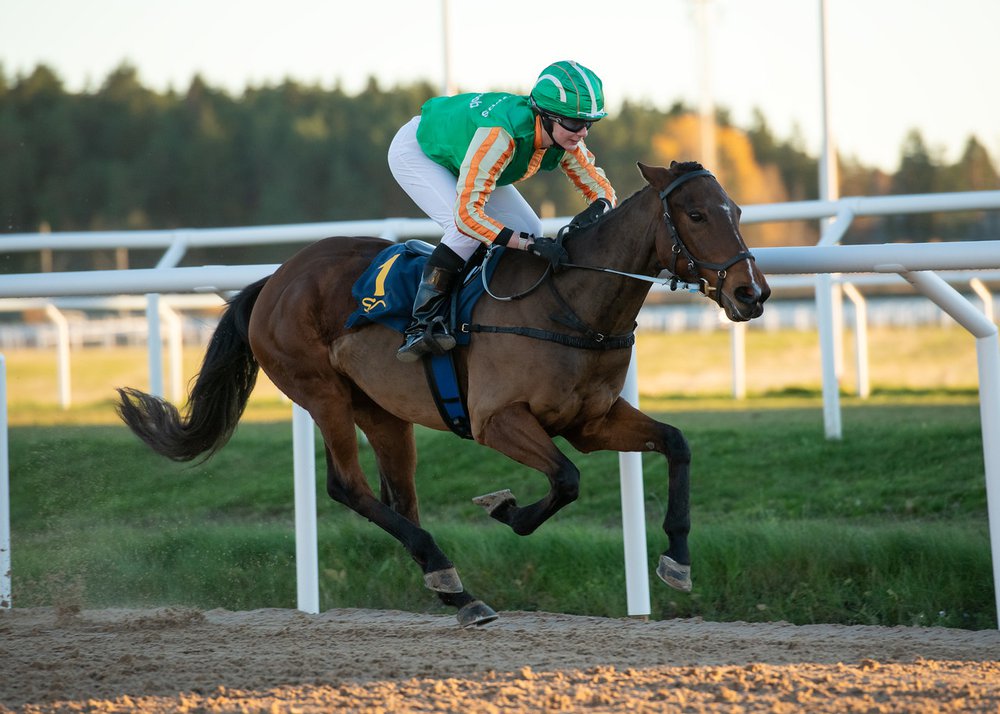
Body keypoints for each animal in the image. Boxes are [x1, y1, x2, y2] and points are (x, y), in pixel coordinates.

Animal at [117, 160, 772, 624]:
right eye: (695, 216)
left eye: (736, 209)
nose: (753, 293)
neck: (570, 304)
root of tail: (274, 278)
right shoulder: (496, 419)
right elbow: (565, 479)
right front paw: (506, 508)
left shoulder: (592, 421)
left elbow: (677, 443)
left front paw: (677, 560)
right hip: (321, 393)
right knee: (348, 487)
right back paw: (448, 575)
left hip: (382, 411)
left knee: (397, 498)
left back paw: (453, 588)